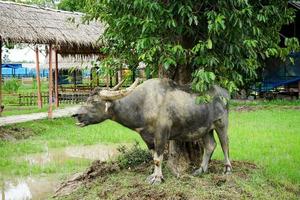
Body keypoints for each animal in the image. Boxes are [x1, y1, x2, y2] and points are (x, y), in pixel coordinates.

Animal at [74, 78, 232, 184]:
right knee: (210, 146)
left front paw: (158, 178)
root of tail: (224, 93)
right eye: (87, 99)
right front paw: (153, 176)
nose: (76, 114)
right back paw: (201, 170)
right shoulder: (147, 137)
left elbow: (158, 158)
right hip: (205, 129)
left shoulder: (161, 134)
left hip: (221, 123)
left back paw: (227, 169)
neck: (142, 104)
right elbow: (153, 157)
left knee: (225, 144)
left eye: (94, 102)